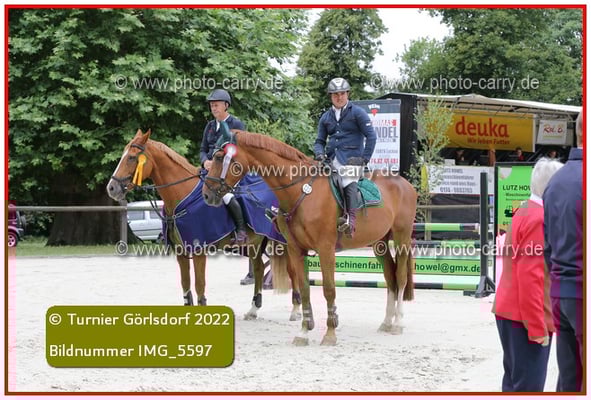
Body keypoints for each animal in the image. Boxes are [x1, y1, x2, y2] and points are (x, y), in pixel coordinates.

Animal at [106, 129, 302, 321]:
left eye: (132, 157)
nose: (111, 188)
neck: (182, 197)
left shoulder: (199, 251)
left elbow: (199, 284)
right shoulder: (181, 252)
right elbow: (185, 284)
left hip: (284, 242)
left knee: (293, 271)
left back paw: (296, 309)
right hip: (254, 243)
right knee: (259, 268)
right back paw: (253, 309)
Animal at [202, 127, 417, 346]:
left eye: (219, 157)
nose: (206, 195)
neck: (301, 190)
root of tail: (404, 183)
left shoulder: (325, 249)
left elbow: (329, 289)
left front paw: (330, 333)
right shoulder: (296, 249)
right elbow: (304, 288)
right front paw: (304, 331)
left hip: (401, 238)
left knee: (400, 277)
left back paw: (398, 323)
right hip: (379, 243)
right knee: (390, 277)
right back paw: (387, 322)